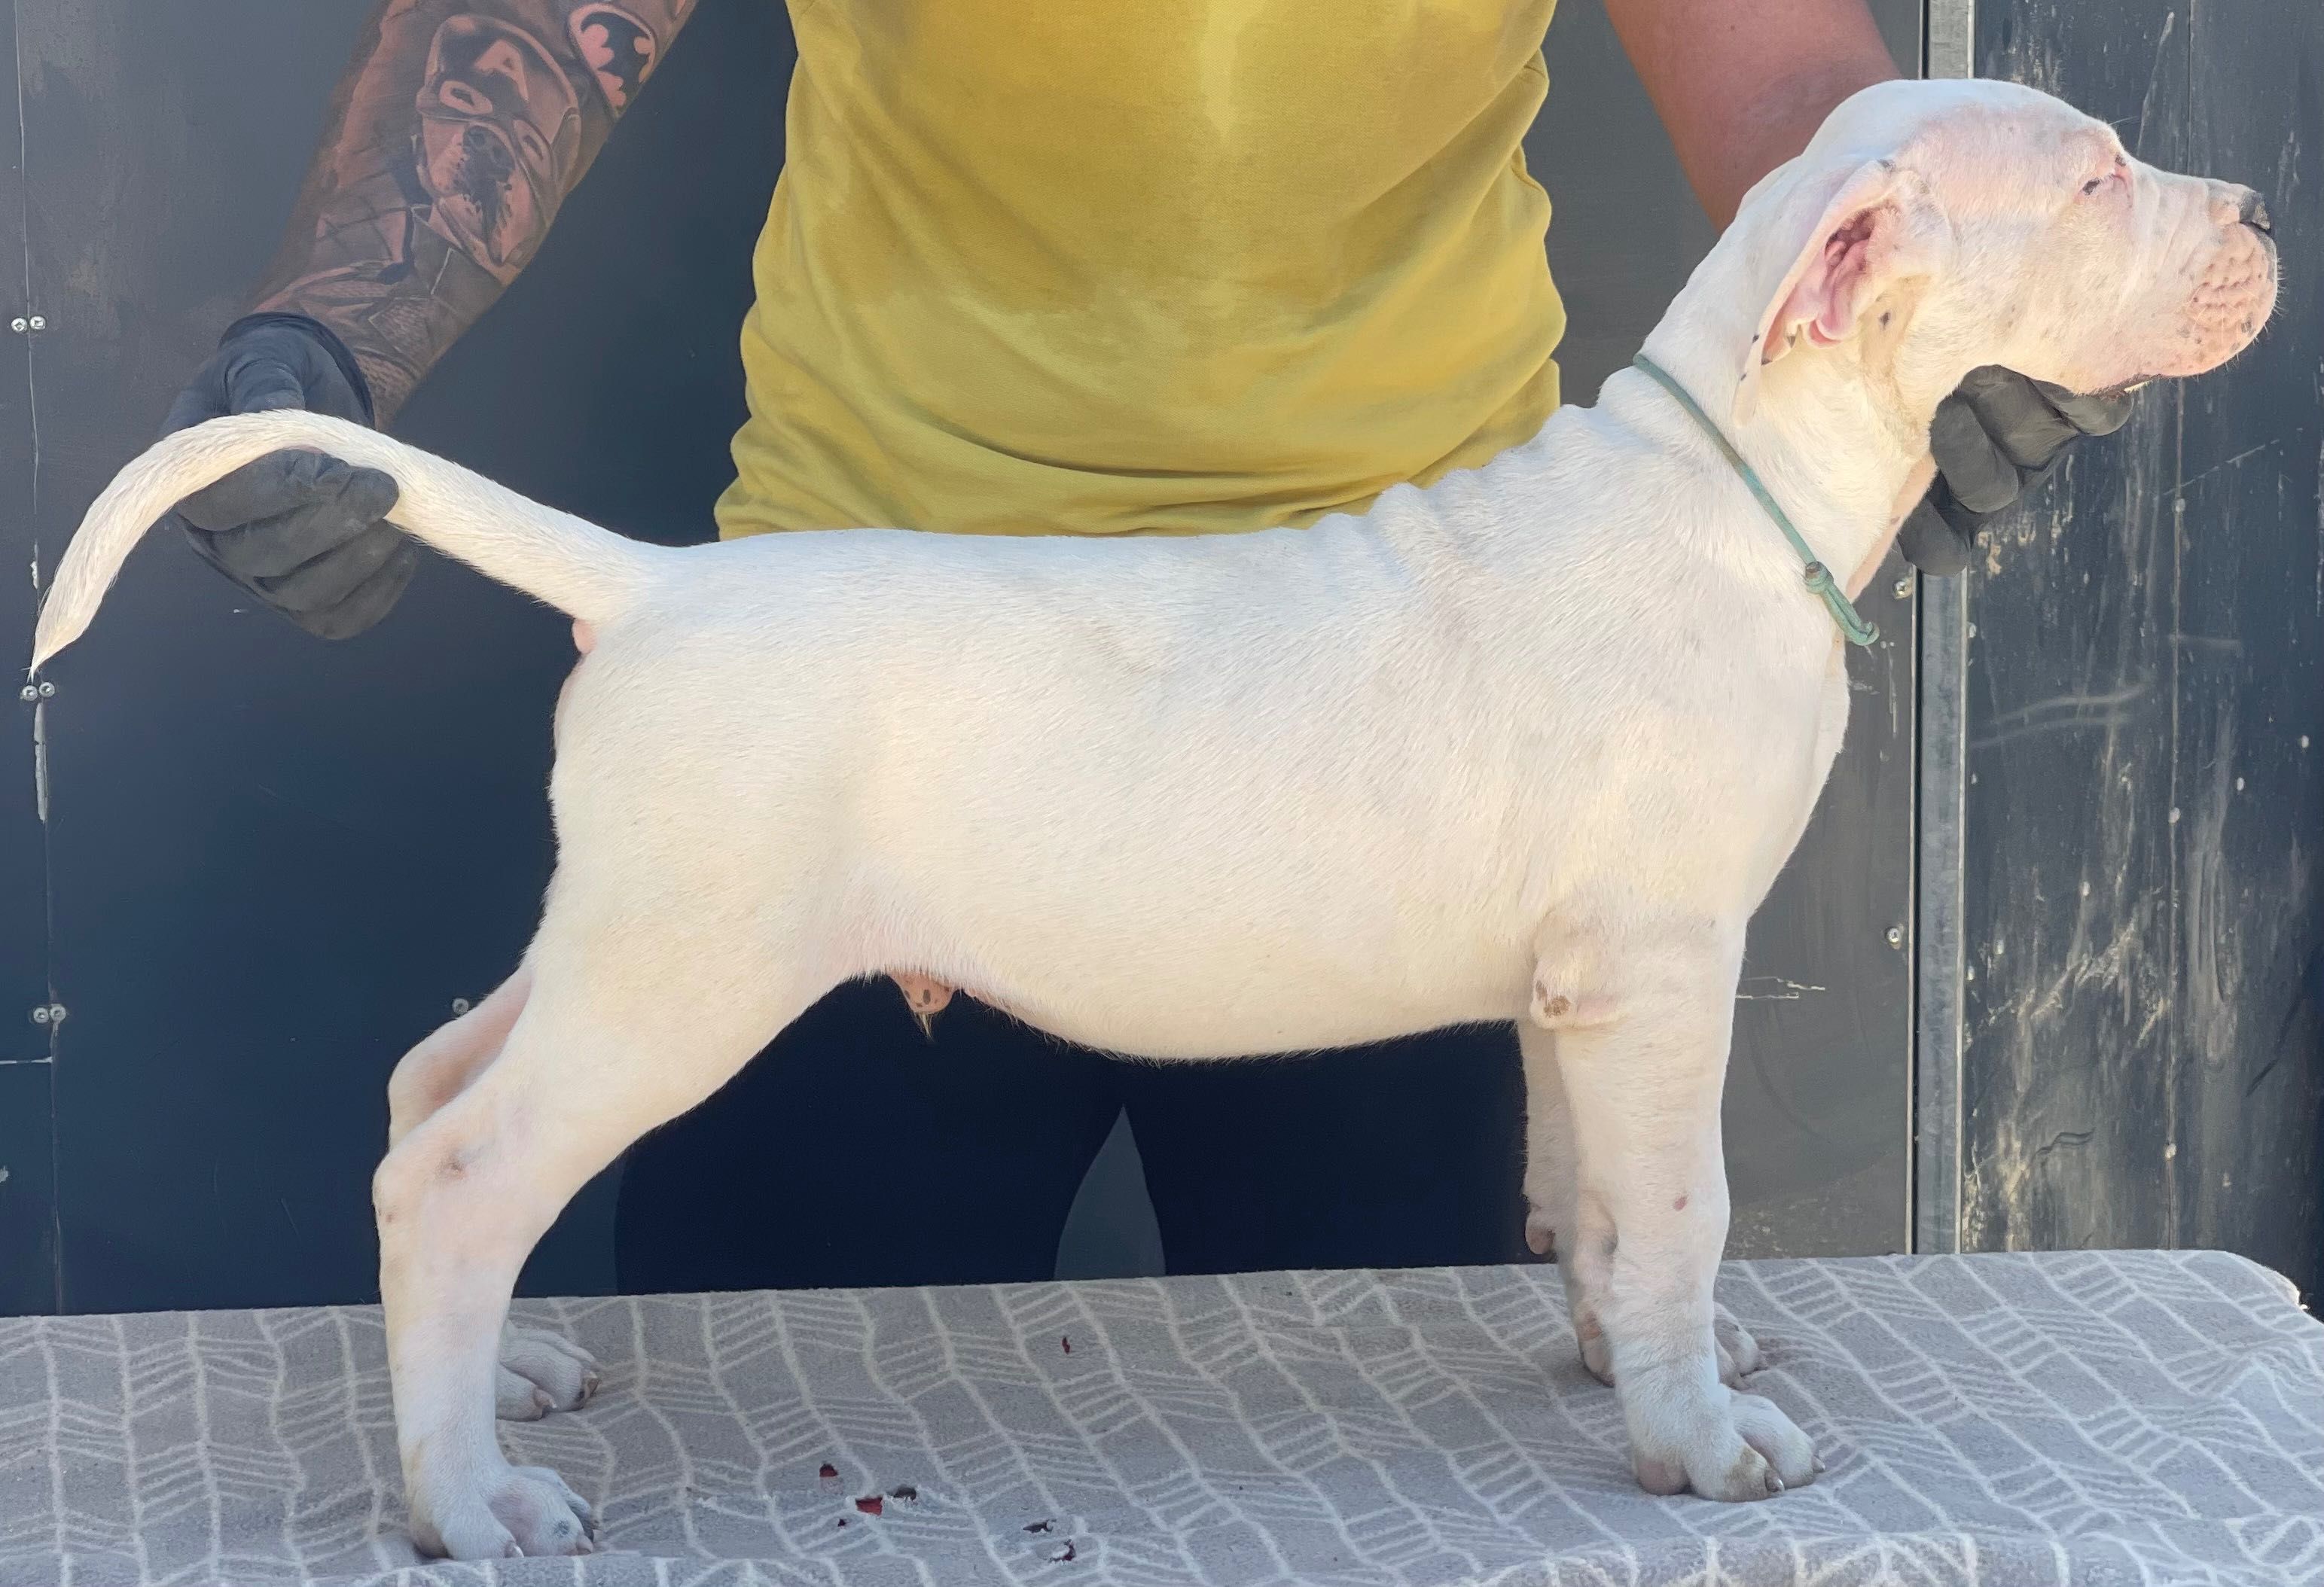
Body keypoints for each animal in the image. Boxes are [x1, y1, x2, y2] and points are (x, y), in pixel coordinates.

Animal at [32, 81, 2268, 1561]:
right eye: (2089, 176)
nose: (2255, 206)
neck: (1731, 479)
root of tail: (657, 587)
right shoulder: (1661, 962)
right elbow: (1690, 1193)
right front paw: (1706, 1445)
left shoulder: (1578, 987)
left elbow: (1599, 1201)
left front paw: (1633, 1366)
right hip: (690, 965)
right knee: (461, 1169)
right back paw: (468, 1498)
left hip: (631, 928)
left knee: (429, 1088)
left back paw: (488, 1386)